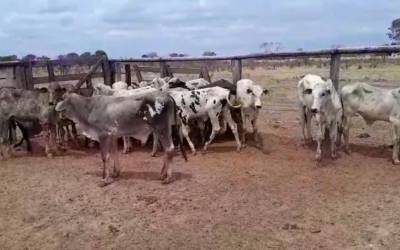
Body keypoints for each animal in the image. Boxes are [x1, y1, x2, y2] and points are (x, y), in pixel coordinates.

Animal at [54, 92, 188, 186]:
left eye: (62, 98)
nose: (55, 107)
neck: (89, 108)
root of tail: (166, 95)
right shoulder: (113, 136)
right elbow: (114, 154)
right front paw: (116, 172)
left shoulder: (104, 135)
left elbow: (105, 157)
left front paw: (104, 179)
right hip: (164, 130)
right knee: (167, 150)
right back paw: (162, 174)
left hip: (162, 129)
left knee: (170, 148)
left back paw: (167, 178)